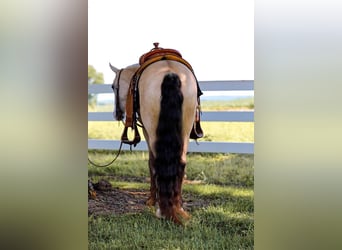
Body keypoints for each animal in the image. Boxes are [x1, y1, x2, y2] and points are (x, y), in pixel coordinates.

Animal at [109, 43, 202, 225]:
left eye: (112, 86)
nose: (116, 114)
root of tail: (170, 73)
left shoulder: (146, 130)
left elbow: (151, 162)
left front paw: (152, 200)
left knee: (158, 161)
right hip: (185, 130)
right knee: (181, 163)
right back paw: (178, 207)